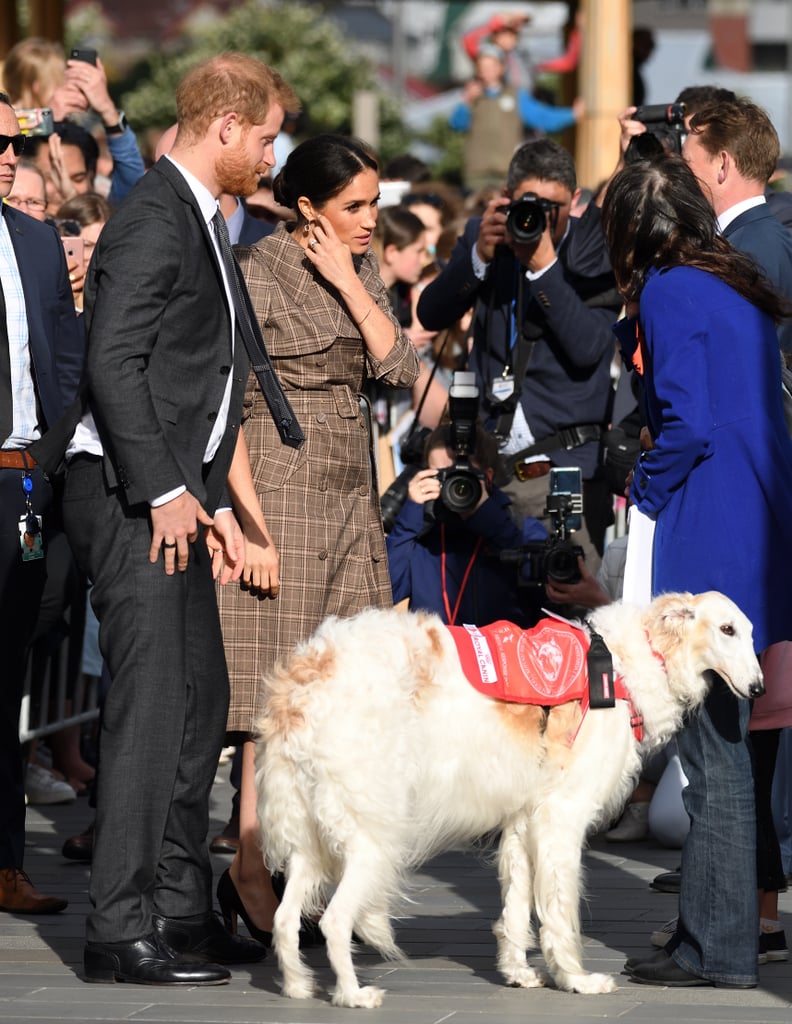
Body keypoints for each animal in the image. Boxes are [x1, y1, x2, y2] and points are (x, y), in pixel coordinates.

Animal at [253, 593, 758, 1007]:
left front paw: (519, 973)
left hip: (310, 840)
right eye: (727, 629)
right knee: (334, 920)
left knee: (284, 918)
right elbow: (558, 913)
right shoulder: (561, 816)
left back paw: (297, 987)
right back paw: (353, 995)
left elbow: (515, 908)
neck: (624, 664)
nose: (758, 689)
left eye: (750, 632)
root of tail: (301, 681)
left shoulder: (522, 818)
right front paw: (575, 979)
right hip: (373, 835)